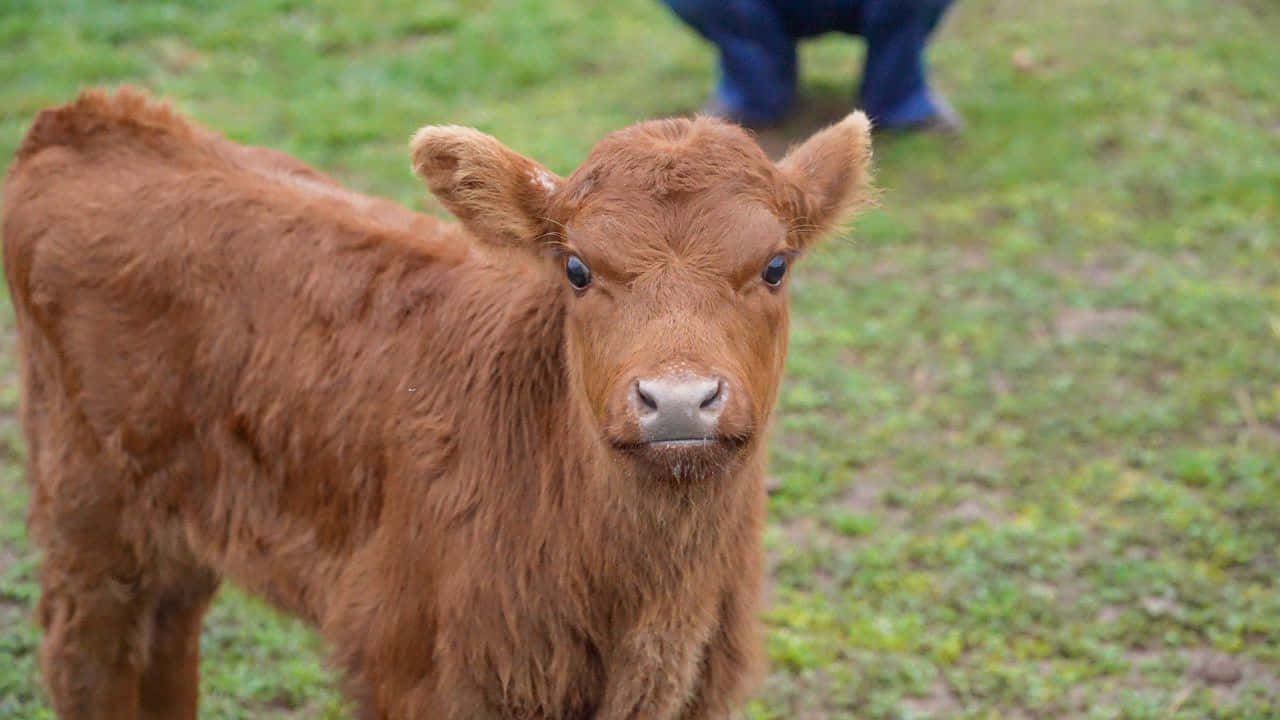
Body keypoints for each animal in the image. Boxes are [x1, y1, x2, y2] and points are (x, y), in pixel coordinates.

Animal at [2, 88, 870, 717]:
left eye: (776, 266)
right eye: (577, 269)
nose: (680, 399)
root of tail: (93, 117)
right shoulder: (417, 666)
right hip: (87, 507)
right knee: (87, 650)